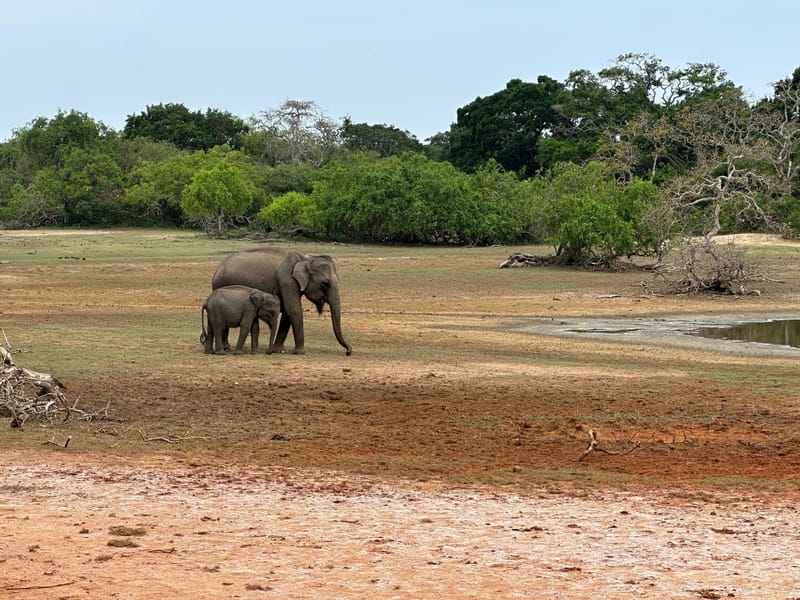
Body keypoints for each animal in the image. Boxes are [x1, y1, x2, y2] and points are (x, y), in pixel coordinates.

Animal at [211, 248, 352, 355]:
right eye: (325, 283)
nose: (348, 352)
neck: (305, 258)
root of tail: (218, 268)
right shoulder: (287, 280)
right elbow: (293, 309)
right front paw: (300, 352)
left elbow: (287, 313)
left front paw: (278, 350)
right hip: (220, 284)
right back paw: (226, 348)